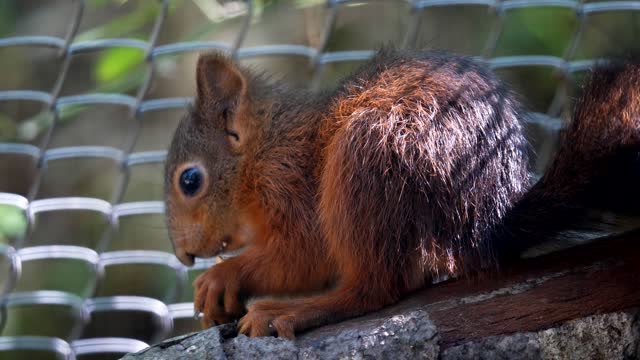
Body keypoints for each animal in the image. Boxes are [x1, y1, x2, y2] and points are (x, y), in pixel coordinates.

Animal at [164, 49, 640, 338]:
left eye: (190, 181)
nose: (184, 255)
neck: (263, 150)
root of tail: (486, 221)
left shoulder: (289, 182)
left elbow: (304, 255)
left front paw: (221, 278)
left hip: (369, 159)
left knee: (376, 288)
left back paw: (295, 310)